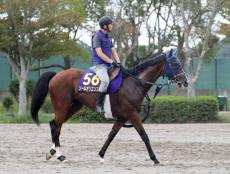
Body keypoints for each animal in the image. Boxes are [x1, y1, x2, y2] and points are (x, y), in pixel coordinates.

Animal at [30, 48, 188, 164]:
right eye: (175, 64)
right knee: (56, 128)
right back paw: (59, 155)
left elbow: (111, 135)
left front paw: (101, 155)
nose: (185, 81)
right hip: (62, 107)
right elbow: (144, 135)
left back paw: (52, 153)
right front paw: (154, 159)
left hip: (73, 107)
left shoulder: (122, 117)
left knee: (54, 125)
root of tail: (57, 75)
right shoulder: (133, 115)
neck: (134, 83)